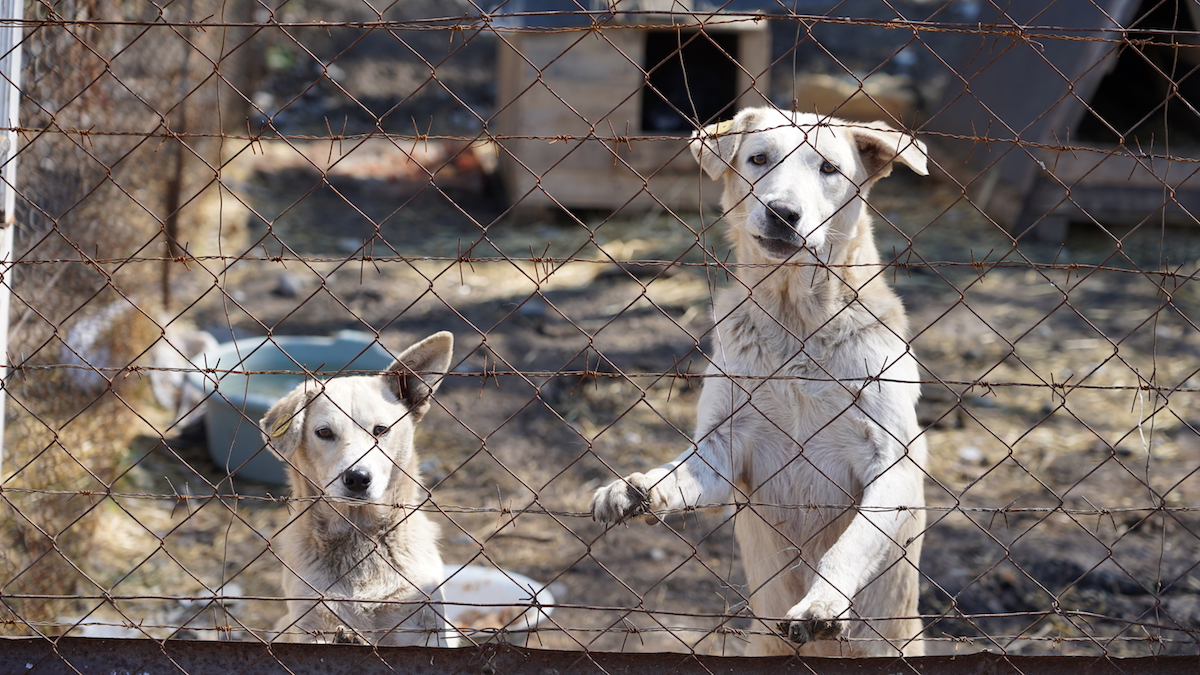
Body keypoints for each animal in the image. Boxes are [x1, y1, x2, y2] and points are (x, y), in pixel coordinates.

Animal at [266, 331, 453, 648]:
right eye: (324, 432)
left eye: (381, 430)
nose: (356, 478)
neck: (360, 537)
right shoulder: (311, 619)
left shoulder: (422, 623)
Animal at [590, 107, 926, 653]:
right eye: (759, 159)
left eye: (829, 168)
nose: (782, 213)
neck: (795, 325)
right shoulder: (721, 452)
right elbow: (674, 475)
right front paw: (633, 489)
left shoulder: (892, 465)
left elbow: (848, 544)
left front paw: (822, 601)